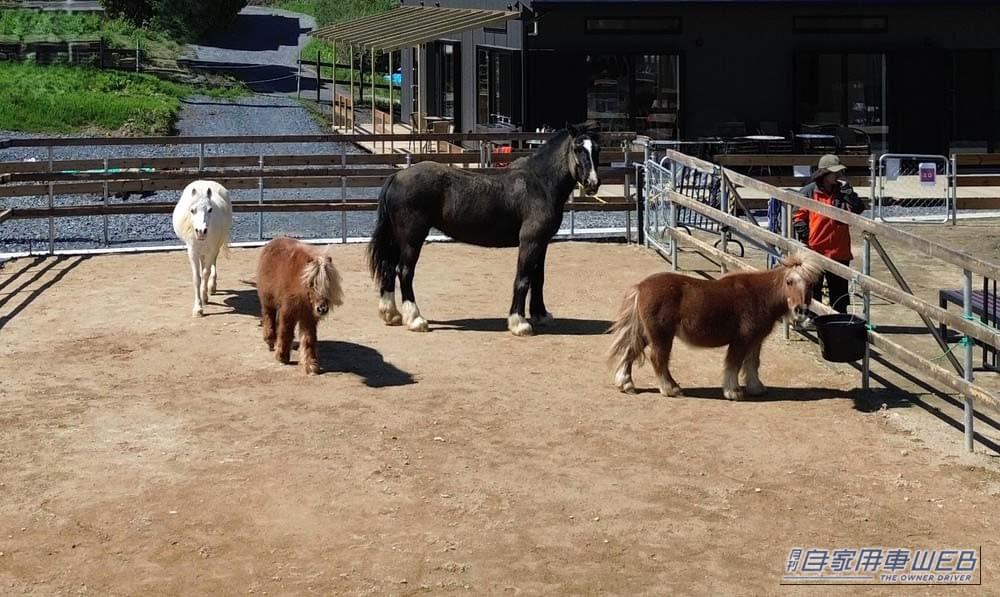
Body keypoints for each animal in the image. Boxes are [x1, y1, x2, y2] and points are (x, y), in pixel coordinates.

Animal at [172, 180, 232, 317]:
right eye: (192, 210)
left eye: (210, 209)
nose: (201, 231)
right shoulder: (192, 252)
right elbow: (197, 278)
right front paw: (198, 308)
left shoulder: (211, 249)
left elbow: (205, 273)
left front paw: (204, 298)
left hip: (216, 246)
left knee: (212, 263)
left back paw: (212, 287)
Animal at [256, 237, 344, 375]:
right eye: (311, 283)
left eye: (328, 284)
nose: (322, 309)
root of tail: (273, 241)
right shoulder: (288, 311)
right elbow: (285, 332)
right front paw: (282, 357)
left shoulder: (308, 317)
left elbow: (308, 339)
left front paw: (311, 365)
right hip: (268, 302)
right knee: (269, 319)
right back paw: (270, 341)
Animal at [367, 123, 602, 336]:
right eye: (578, 148)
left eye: (597, 149)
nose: (593, 183)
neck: (540, 184)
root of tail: (397, 177)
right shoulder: (530, 241)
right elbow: (523, 278)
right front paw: (519, 323)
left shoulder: (542, 242)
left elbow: (538, 278)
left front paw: (541, 315)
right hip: (411, 238)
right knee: (405, 271)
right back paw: (416, 319)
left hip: (397, 238)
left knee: (389, 268)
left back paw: (392, 315)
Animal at [607, 254, 822, 400]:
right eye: (789, 281)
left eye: (811, 285)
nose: (801, 311)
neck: (760, 295)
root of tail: (640, 286)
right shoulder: (741, 339)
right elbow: (734, 364)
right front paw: (733, 391)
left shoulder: (756, 340)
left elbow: (752, 363)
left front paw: (756, 388)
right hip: (661, 335)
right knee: (658, 359)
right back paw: (671, 389)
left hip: (645, 333)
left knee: (630, 352)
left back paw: (626, 384)